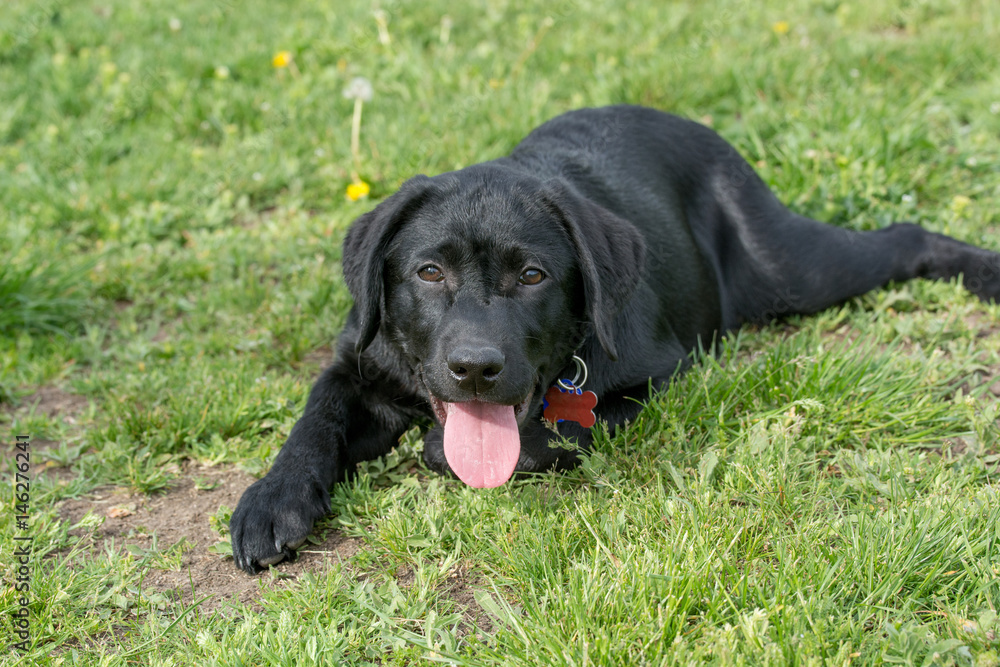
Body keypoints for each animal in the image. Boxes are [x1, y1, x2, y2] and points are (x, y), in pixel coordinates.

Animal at [230, 104, 1000, 576]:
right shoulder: (357, 360)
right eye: (428, 271)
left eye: (532, 275)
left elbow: (559, 431)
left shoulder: (654, 378)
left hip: (791, 268)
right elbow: (315, 417)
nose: (475, 367)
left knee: (902, 237)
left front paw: (439, 450)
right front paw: (272, 500)